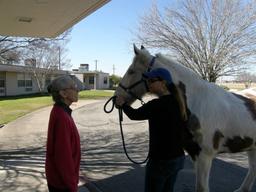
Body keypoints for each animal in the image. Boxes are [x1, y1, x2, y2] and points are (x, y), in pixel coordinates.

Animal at [114, 45, 256, 192]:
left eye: (131, 71)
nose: (116, 97)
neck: (198, 103)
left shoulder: (205, 156)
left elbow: (201, 188)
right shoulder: (194, 154)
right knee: (252, 168)